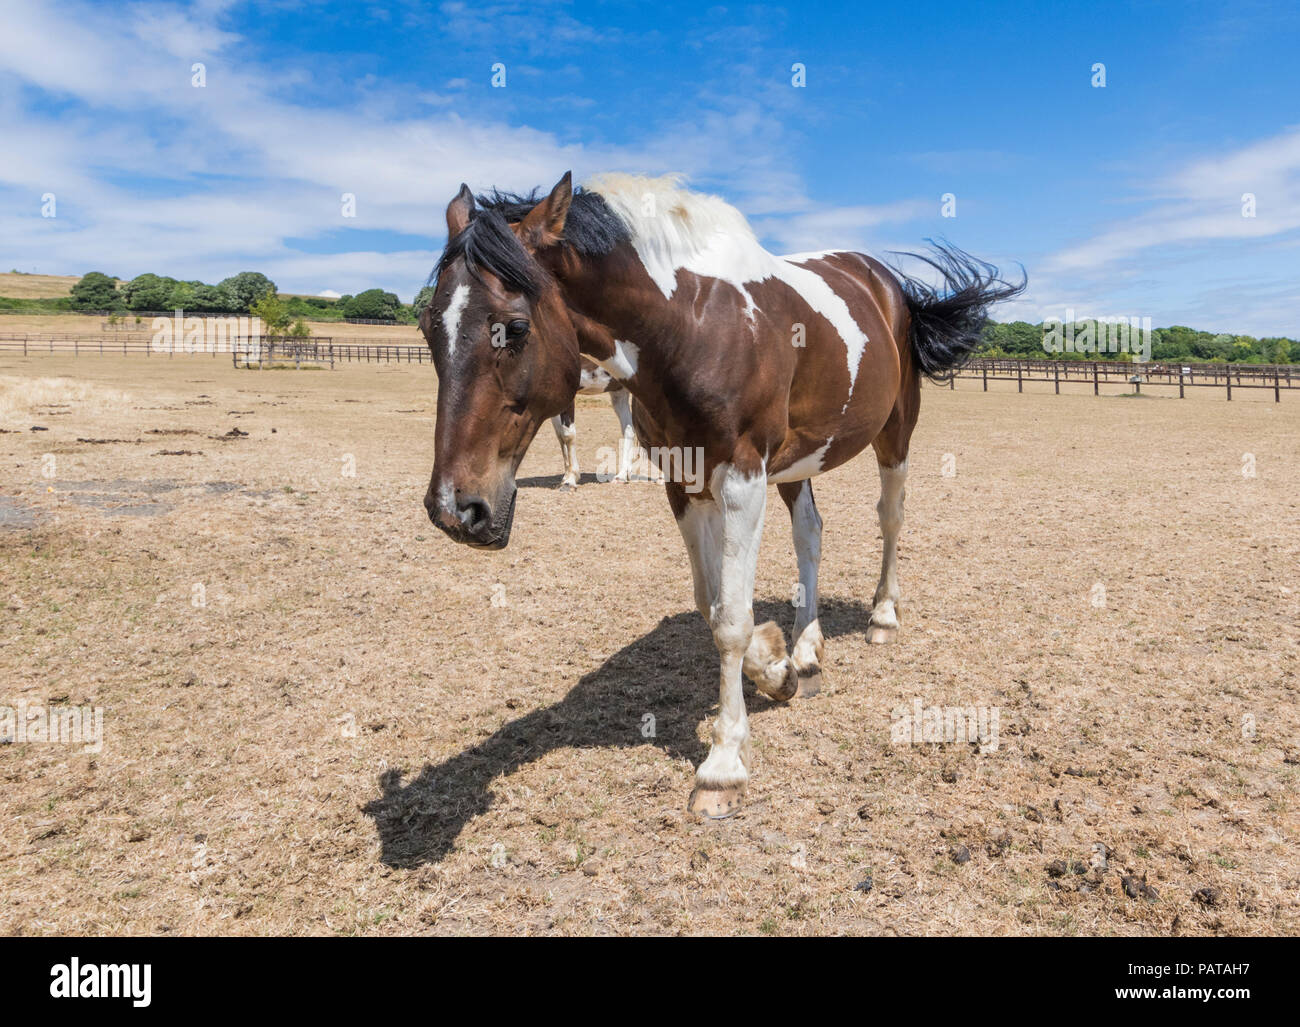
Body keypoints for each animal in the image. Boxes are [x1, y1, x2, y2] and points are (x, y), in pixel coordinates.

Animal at [421, 175, 1019, 821]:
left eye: (515, 328)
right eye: (429, 327)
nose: (456, 510)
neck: (691, 324)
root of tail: (887, 283)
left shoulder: (741, 479)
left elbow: (731, 619)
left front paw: (724, 763)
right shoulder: (684, 483)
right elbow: (714, 606)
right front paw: (778, 666)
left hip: (896, 430)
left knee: (890, 518)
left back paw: (883, 614)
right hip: (797, 461)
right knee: (810, 533)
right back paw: (807, 649)